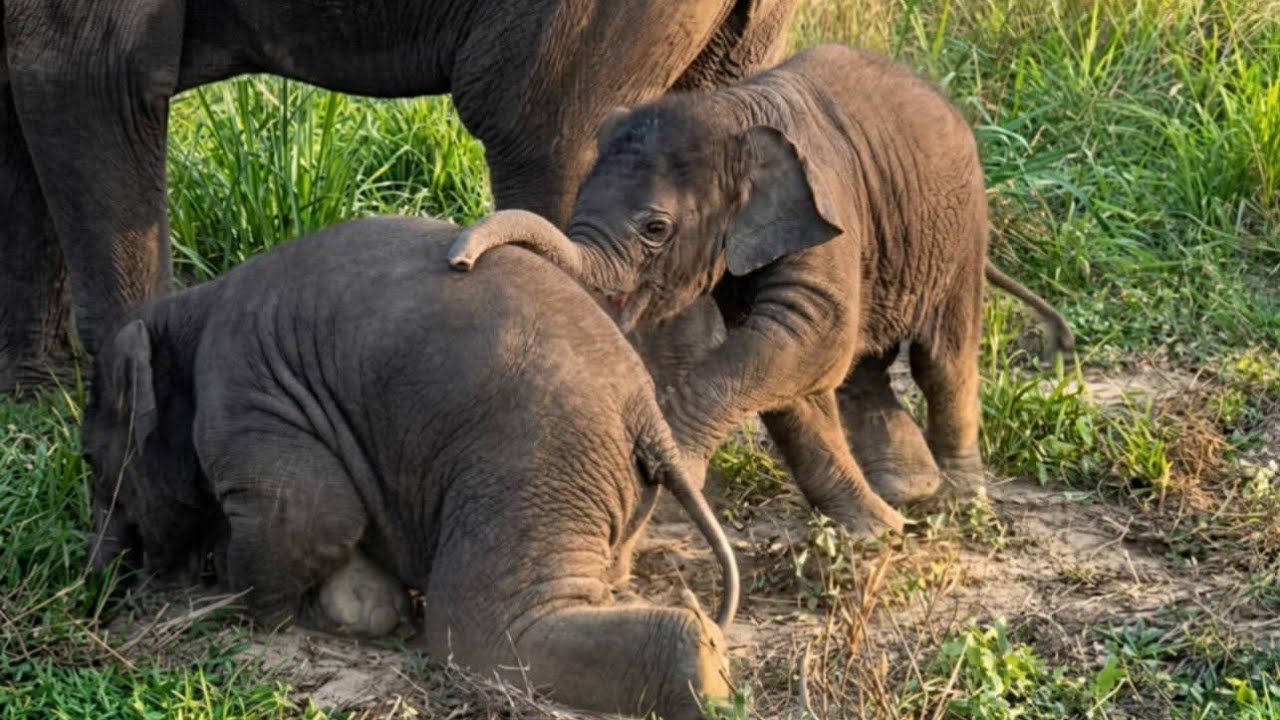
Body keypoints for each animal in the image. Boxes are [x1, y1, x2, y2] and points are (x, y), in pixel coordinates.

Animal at [81, 215, 741, 719]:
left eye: (88, 459)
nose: (98, 593)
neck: (188, 311)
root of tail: (645, 409)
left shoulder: (245, 388)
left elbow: (308, 512)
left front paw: (246, 610)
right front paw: (365, 610)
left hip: (535, 459)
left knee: (481, 629)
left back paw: (705, 663)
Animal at [447, 44, 1076, 537]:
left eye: (656, 229)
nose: (461, 260)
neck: (731, 111)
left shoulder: (826, 207)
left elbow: (811, 332)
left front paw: (675, 474)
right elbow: (792, 365)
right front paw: (877, 533)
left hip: (961, 229)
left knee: (941, 357)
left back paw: (958, 498)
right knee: (864, 364)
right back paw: (905, 491)